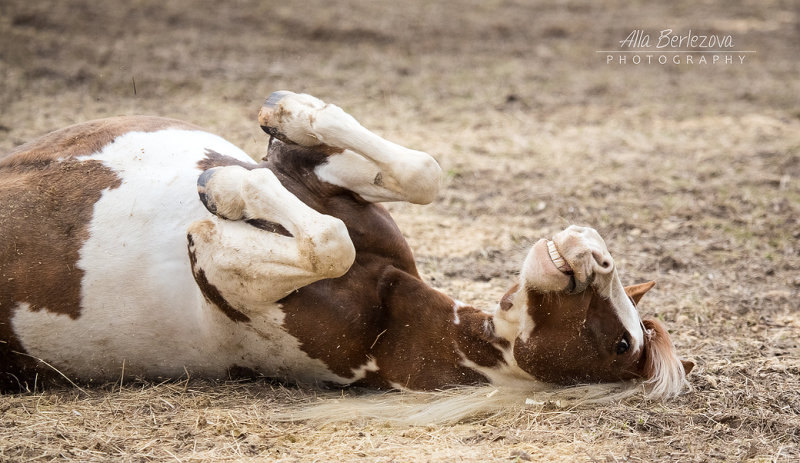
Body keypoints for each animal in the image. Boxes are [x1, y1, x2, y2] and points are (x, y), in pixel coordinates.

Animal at [0, 92, 692, 396]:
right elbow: (421, 172)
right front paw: (288, 110)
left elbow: (325, 242)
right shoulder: (307, 177)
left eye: (621, 343)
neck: (392, 308)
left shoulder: (228, 283)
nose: (591, 252)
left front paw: (225, 189)